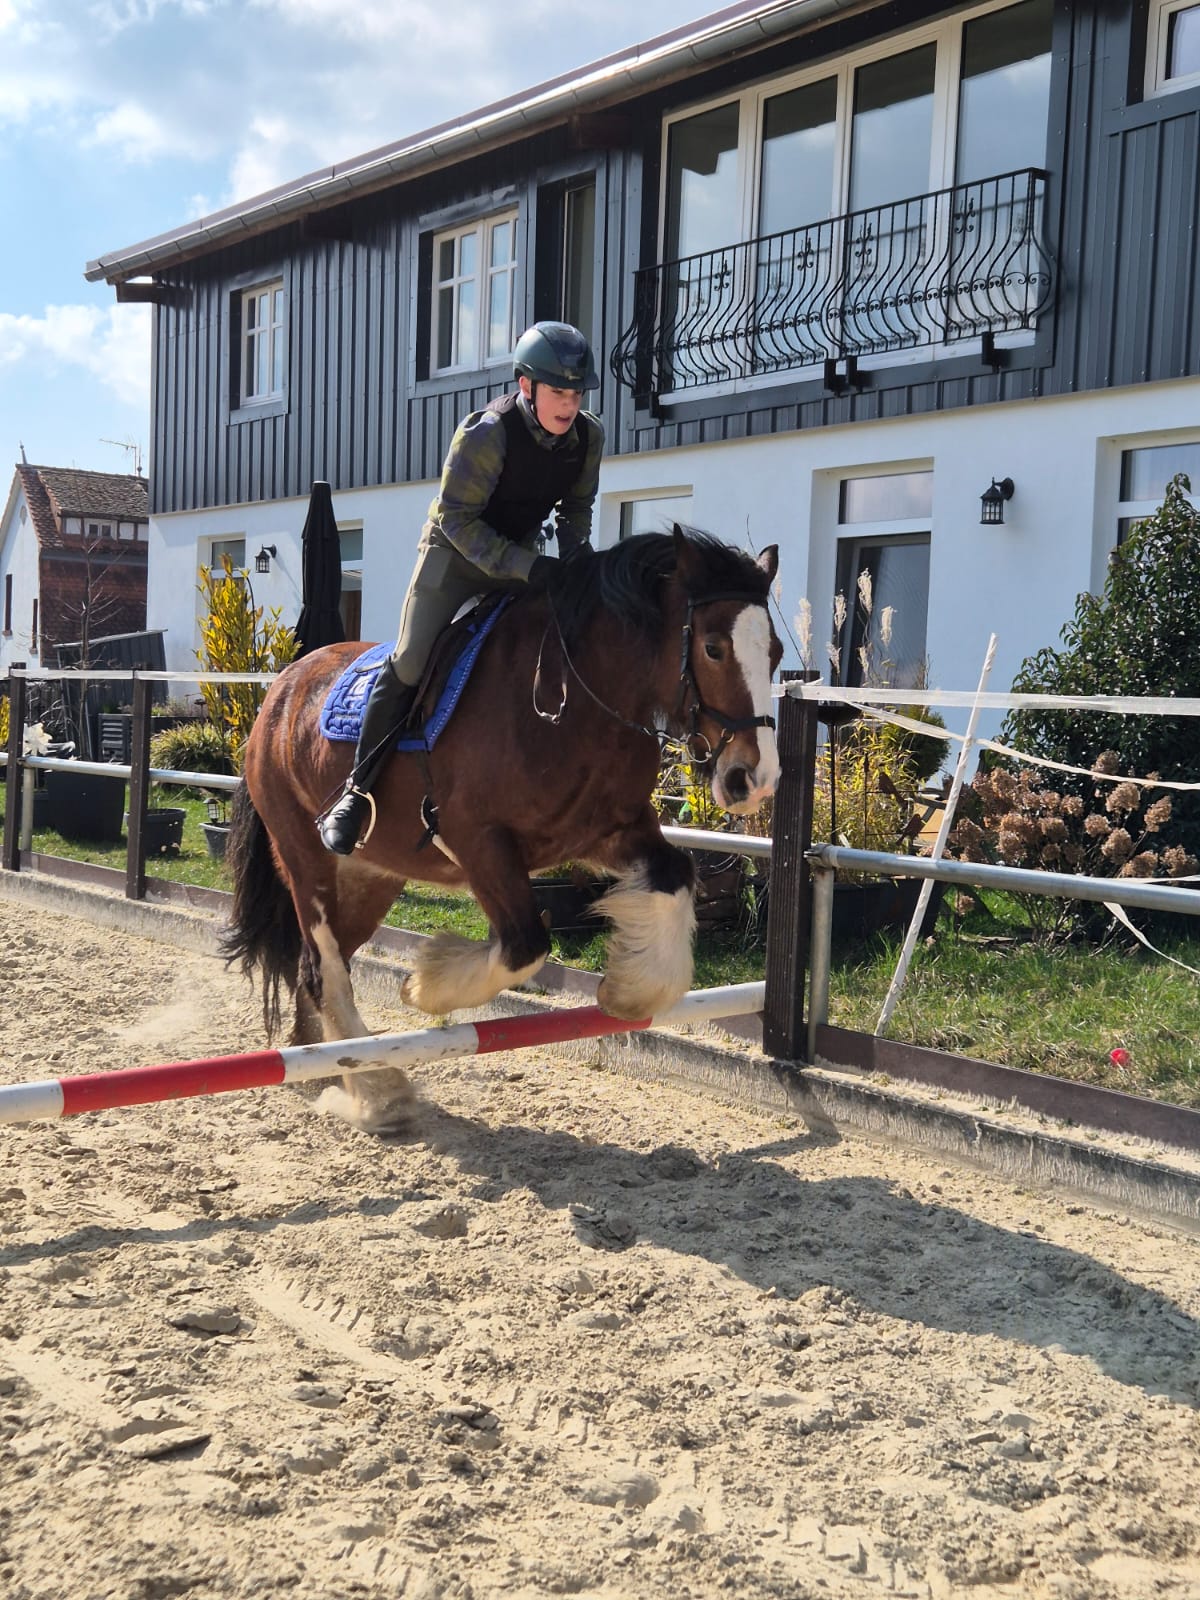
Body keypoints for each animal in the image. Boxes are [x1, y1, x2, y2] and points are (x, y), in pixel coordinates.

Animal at [222, 525, 782, 1131]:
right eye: (713, 647)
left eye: (775, 653)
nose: (755, 779)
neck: (571, 702)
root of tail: (279, 692)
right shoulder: (479, 842)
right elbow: (524, 945)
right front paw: (423, 986)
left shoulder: (606, 833)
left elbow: (675, 874)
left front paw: (628, 992)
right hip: (306, 857)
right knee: (323, 967)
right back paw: (378, 1090)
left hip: (373, 875)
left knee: (323, 965)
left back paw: (325, 1071)